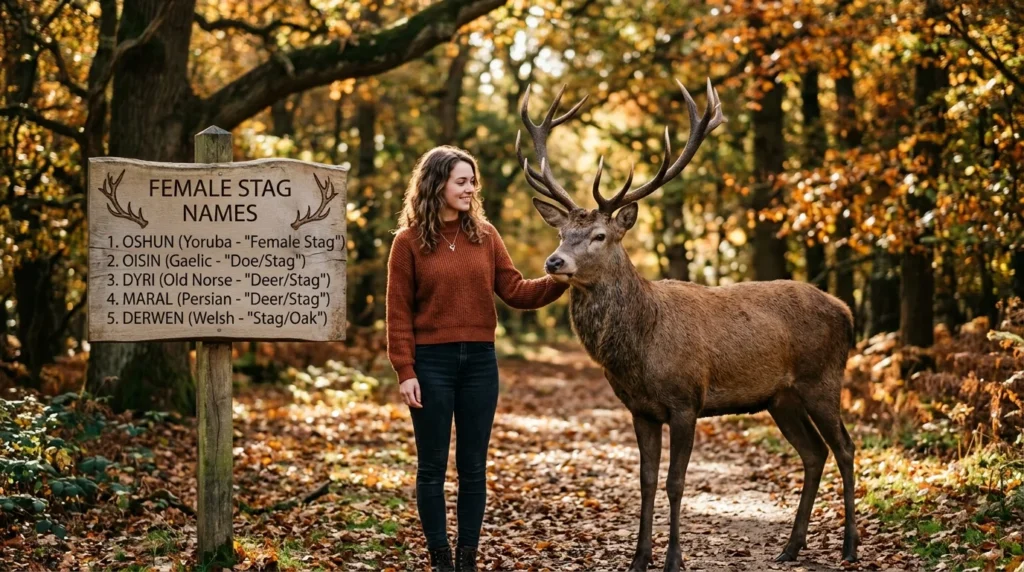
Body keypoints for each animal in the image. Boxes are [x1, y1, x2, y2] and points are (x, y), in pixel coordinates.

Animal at [515, 79, 859, 572]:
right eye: (562, 233)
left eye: (599, 236)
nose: (554, 262)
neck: (640, 349)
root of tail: (846, 312)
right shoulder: (640, 409)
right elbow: (645, 481)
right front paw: (638, 559)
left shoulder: (685, 401)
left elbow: (676, 482)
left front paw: (673, 558)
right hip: (782, 397)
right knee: (814, 453)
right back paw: (790, 547)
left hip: (823, 379)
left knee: (845, 448)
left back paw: (849, 545)